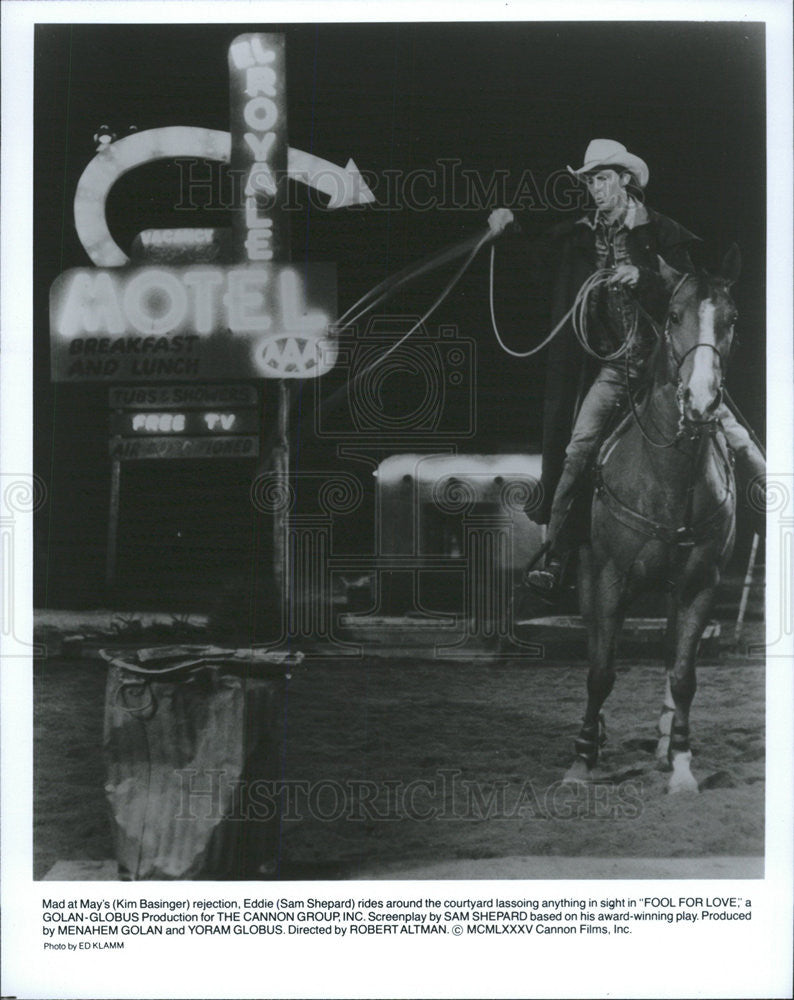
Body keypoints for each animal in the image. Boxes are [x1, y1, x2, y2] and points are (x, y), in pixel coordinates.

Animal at [568, 246, 740, 792]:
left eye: (731, 319)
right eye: (674, 316)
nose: (702, 399)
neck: (668, 475)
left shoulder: (699, 583)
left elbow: (683, 674)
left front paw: (681, 765)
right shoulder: (607, 577)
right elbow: (601, 669)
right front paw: (582, 761)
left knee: (669, 654)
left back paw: (666, 742)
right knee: (593, 644)